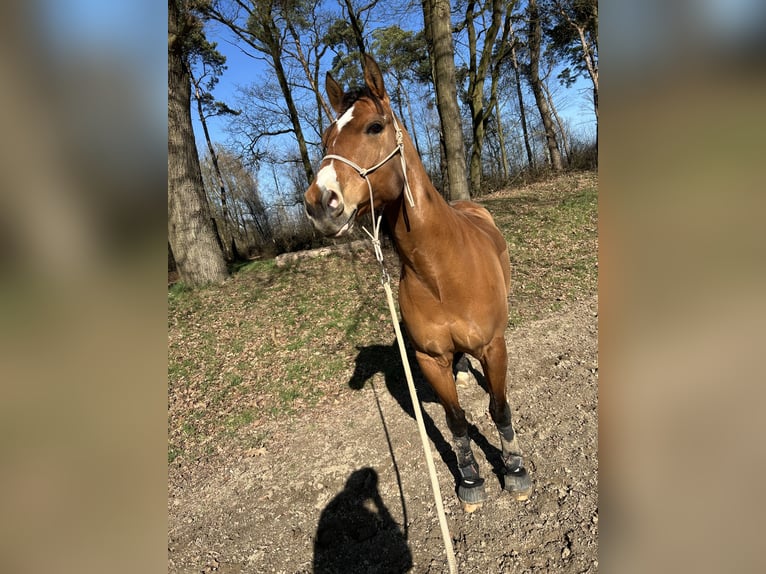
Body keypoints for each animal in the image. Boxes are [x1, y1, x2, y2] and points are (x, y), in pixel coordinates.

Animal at [304, 55, 532, 510]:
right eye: (325, 138)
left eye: (375, 126)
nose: (320, 203)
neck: (441, 271)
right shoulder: (429, 359)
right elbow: (456, 420)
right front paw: (470, 479)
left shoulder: (493, 347)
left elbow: (499, 408)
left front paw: (515, 471)